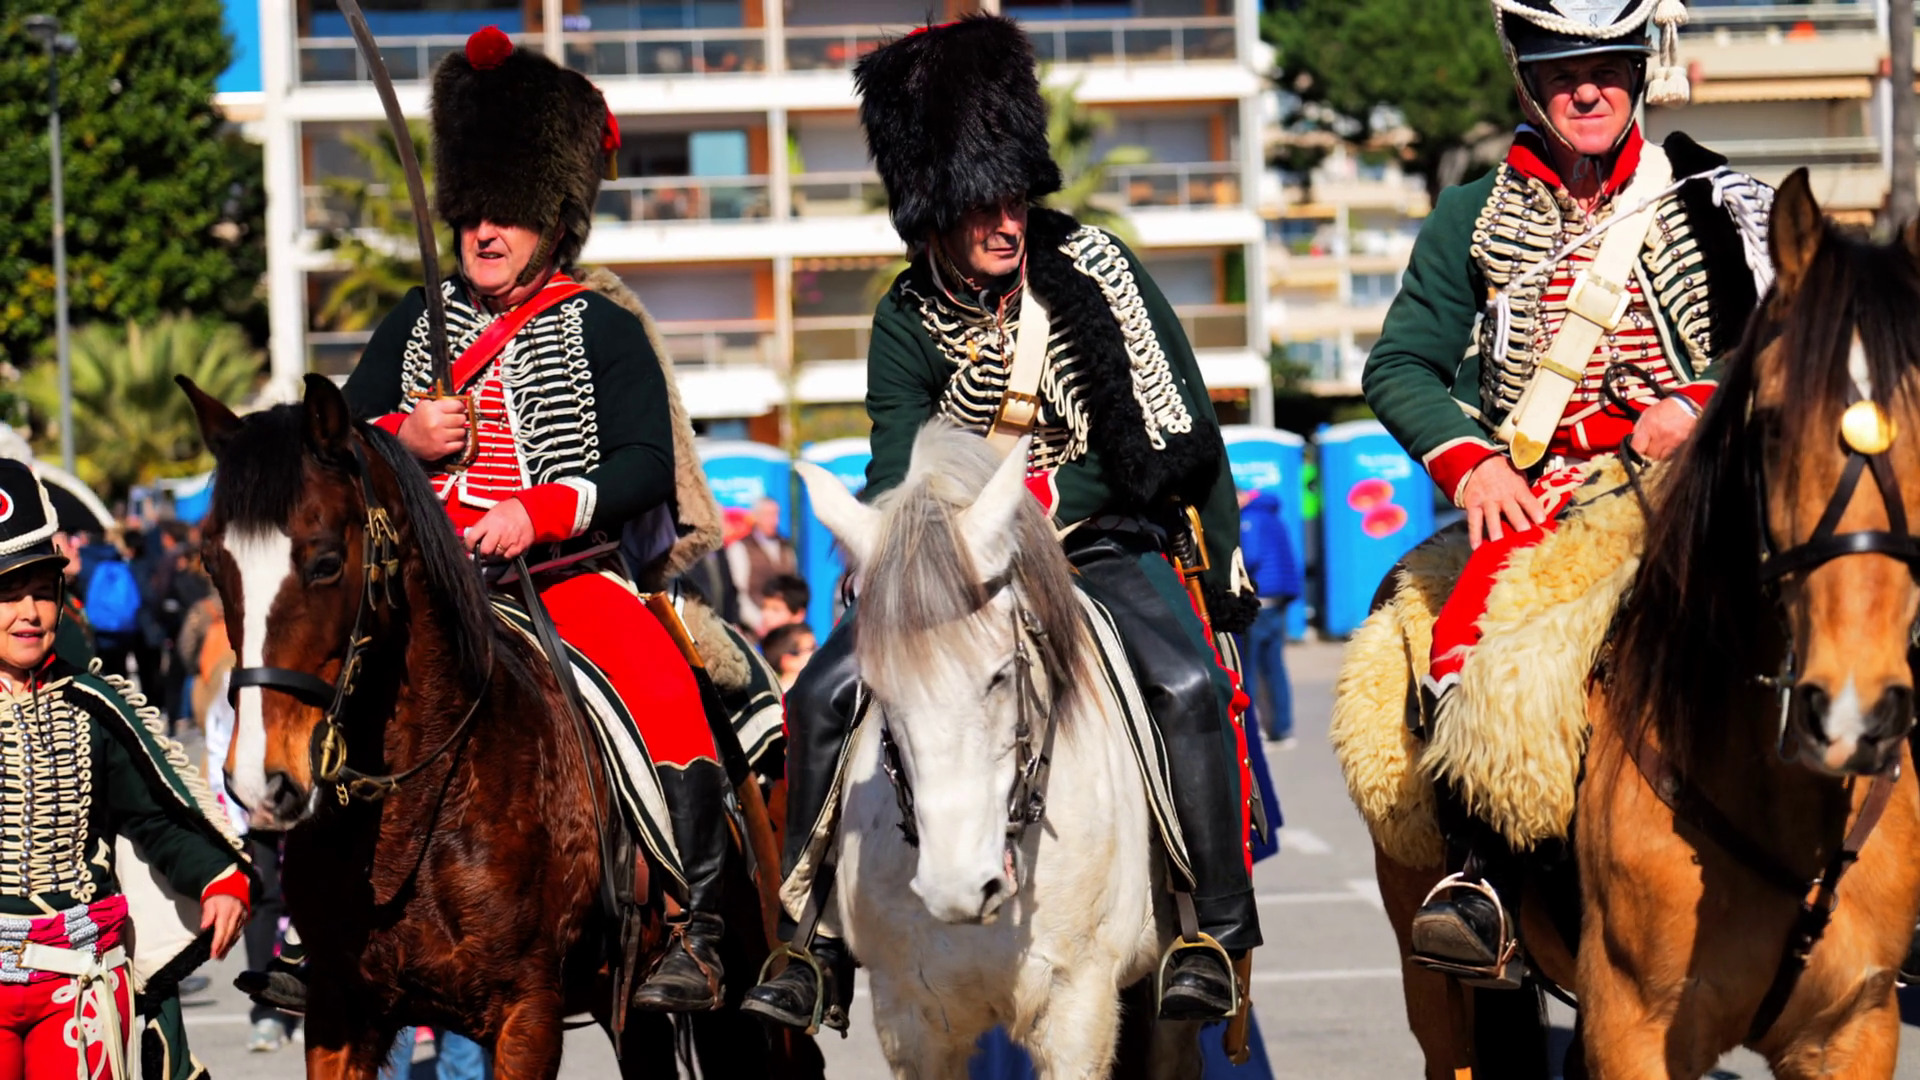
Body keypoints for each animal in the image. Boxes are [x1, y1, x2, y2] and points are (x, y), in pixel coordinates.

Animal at [179, 373, 820, 1079]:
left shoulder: (527, 1014)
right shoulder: (339, 1009)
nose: (258, 780)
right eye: (213, 564)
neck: (423, 800)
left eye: (324, 562)